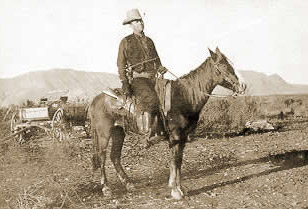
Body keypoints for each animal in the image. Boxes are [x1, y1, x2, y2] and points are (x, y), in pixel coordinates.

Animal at [88, 47, 245, 199]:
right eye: (223, 65)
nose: (243, 85)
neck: (184, 96)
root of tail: (95, 99)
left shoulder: (182, 137)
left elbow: (178, 161)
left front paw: (180, 188)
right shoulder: (175, 136)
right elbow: (175, 161)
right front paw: (176, 191)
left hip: (118, 132)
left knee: (114, 156)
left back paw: (129, 184)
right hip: (104, 133)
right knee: (102, 157)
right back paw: (106, 189)